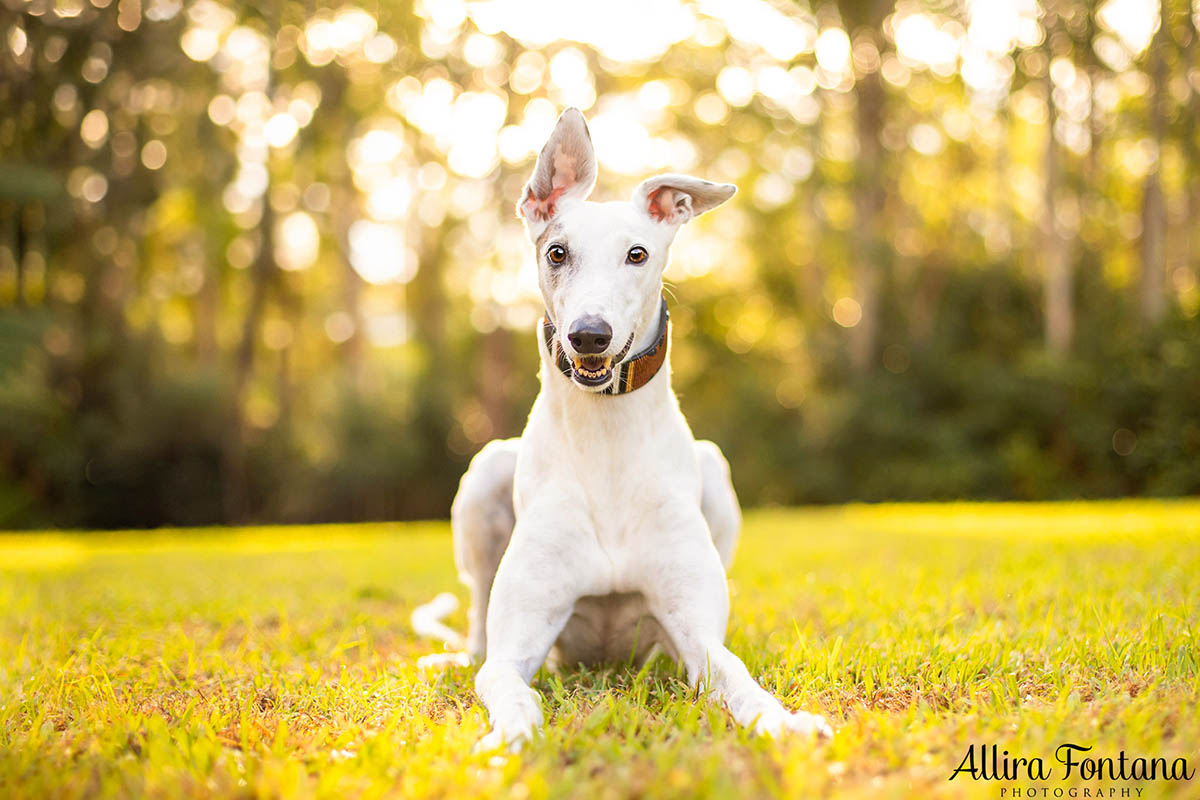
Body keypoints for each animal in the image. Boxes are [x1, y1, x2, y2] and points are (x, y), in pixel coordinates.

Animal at [432, 107, 835, 753]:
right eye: (557, 252)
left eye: (638, 254)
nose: (589, 336)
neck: (608, 442)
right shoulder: (515, 649)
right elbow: (509, 686)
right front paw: (510, 737)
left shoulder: (697, 635)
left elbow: (737, 675)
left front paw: (784, 721)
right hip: (486, 474)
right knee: (476, 631)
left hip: (714, 470)